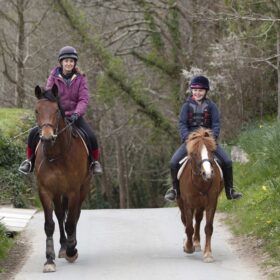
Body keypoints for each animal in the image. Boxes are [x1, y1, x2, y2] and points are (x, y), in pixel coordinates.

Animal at [33, 85, 91, 272]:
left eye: (57, 110)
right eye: (37, 110)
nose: (46, 137)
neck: (56, 155)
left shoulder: (73, 191)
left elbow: (71, 221)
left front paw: (72, 251)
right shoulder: (45, 191)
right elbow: (49, 224)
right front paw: (49, 260)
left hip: (83, 188)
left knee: (75, 215)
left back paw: (71, 245)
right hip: (58, 192)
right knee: (59, 215)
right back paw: (63, 246)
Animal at [177, 127, 223, 262]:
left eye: (212, 151)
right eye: (194, 153)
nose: (208, 174)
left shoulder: (211, 202)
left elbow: (208, 227)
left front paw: (208, 254)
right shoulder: (187, 203)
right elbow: (188, 227)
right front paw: (188, 247)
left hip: (200, 204)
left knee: (197, 219)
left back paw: (196, 242)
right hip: (182, 202)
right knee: (185, 220)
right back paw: (189, 242)